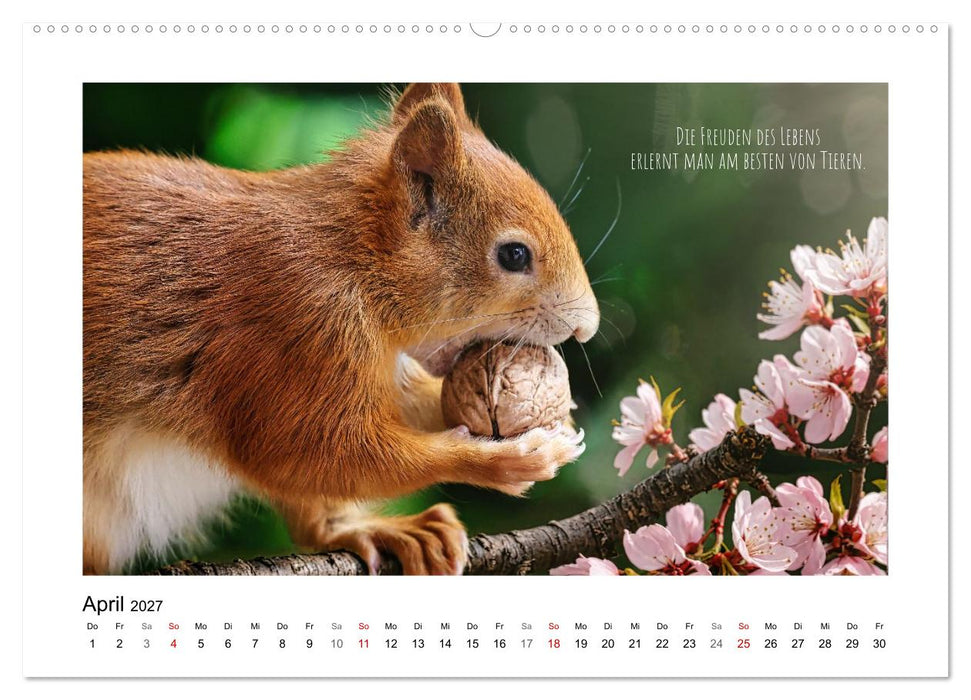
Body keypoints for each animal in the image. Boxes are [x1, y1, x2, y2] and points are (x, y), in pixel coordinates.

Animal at [83, 83, 599, 575]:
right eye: (514, 255)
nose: (586, 328)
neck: (352, 259)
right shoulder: (296, 329)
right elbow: (310, 453)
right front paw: (506, 459)